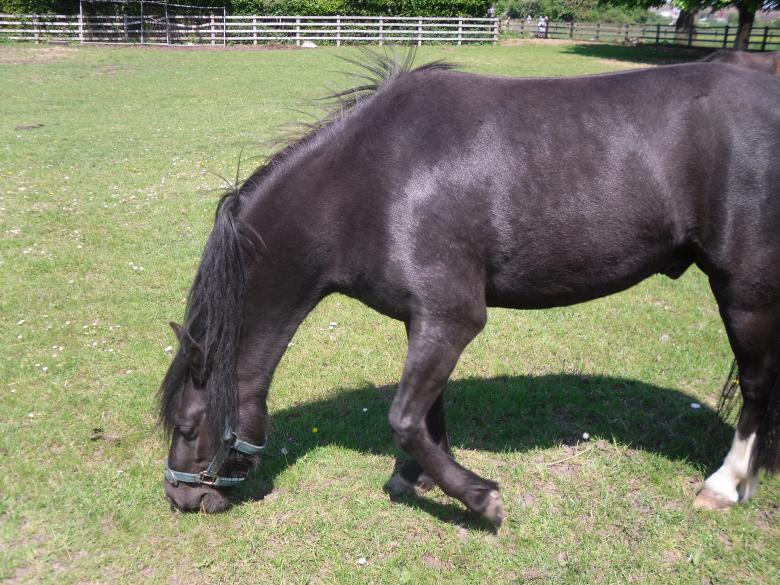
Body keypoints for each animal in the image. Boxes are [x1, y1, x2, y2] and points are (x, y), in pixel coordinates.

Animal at [159, 52, 780, 525]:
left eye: (187, 426)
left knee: (757, 387)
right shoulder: (425, 319)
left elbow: (405, 418)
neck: (368, 184)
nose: (182, 496)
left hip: (745, 292)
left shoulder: (452, 318)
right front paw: (417, 478)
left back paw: (726, 484)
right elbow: (428, 414)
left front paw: (480, 498)